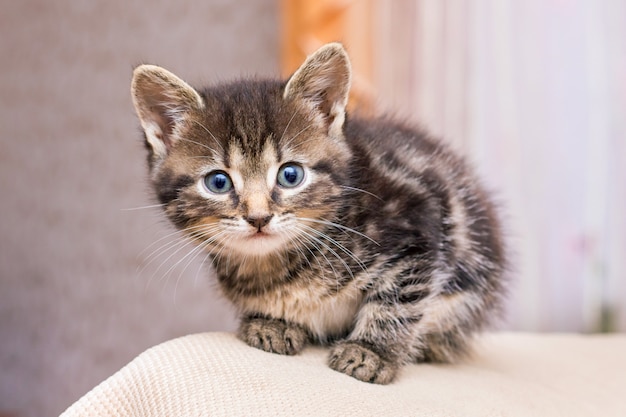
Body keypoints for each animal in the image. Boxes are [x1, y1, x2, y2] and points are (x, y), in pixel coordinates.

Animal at [132, 43, 508, 384]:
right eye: (218, 182)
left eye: (290, 175)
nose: (258, 217)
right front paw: (270, 321)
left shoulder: (416, 223)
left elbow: (397, 299)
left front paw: (372, 352)